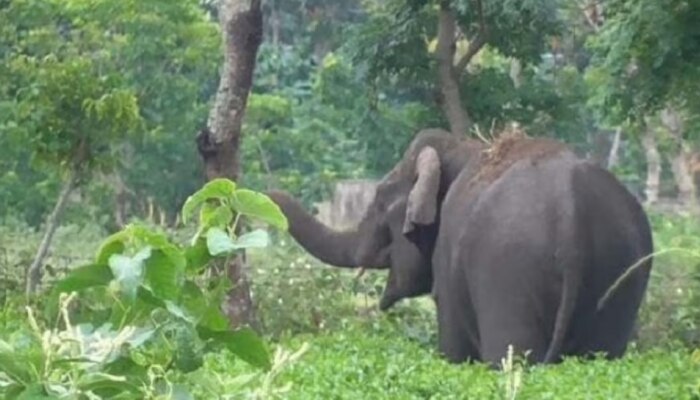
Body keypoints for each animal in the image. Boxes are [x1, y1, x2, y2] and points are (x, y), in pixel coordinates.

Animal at [266, 127, 652, 366]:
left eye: (380, 203)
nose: (267, 192)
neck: (465, 146)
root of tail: (573, 213)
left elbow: (452, 344)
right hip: (622, 274)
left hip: (508, 271)